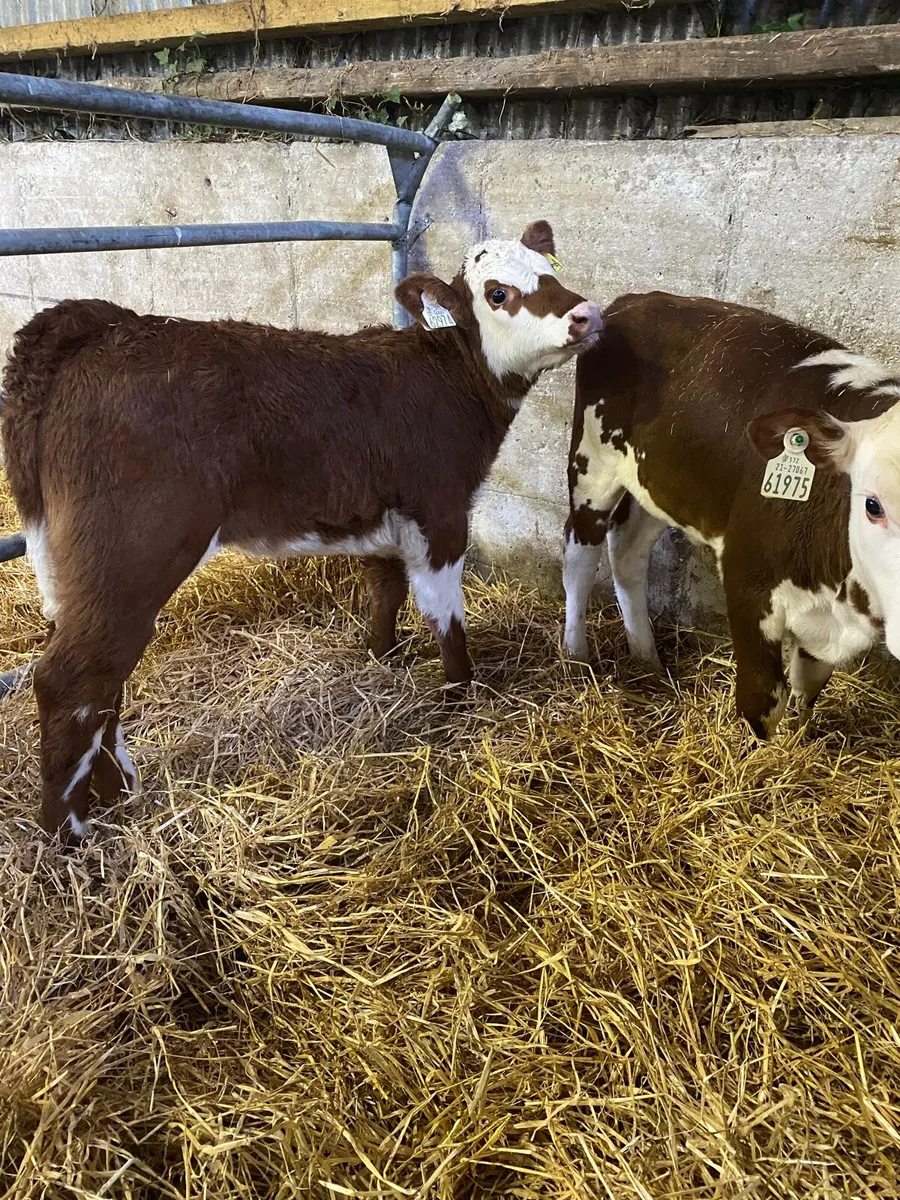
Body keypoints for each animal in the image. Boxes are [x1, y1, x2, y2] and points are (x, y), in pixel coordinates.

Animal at [1, 220, 603, 838]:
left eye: (551, 272)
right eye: (497, 293)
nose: (587, 314)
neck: (449, 377)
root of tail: (101, 326)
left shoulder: (382, 512)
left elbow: (385, 590)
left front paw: (381, 656)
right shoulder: (441, 513)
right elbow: (446, 617)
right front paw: (463, 693)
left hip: (74, 567)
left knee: (101, 679)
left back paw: (120, 791)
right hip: (133, 554)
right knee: (71, 677)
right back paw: (69, 831)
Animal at [561, 291, 900, 739]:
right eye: (872, 505)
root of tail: (638, 299)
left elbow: (807, 689)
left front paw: (798, 743)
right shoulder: (747, 576)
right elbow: (763, 701)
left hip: (662, 482)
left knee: (628, 551)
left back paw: (647, 657)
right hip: (592, 462)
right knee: (580, 553)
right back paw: (576, 658)